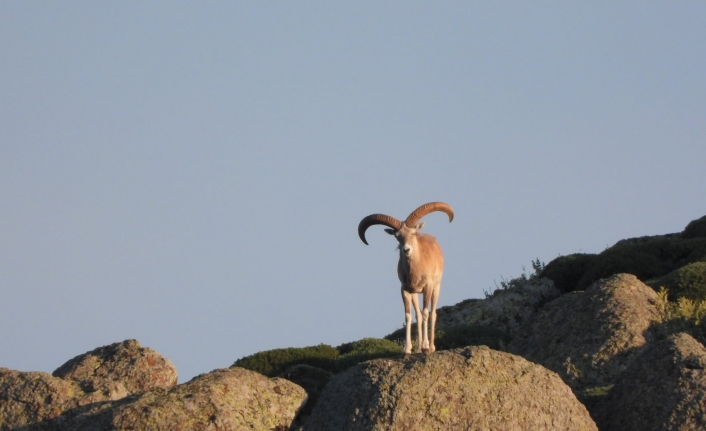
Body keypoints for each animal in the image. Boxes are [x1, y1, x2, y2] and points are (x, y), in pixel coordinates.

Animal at [358, 202, 452, 354]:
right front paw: (407, 349)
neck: (416, 270)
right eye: (397, 236)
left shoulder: (428, 287)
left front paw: (426, 346)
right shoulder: (405, 290)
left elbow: (426, 313)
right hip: (415, 294)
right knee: (418, 315)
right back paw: (419, 348)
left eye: (413, 234)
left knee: (432, 314)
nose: (406, 250)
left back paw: (430, 347)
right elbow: (408, 316)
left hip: (436, 288)